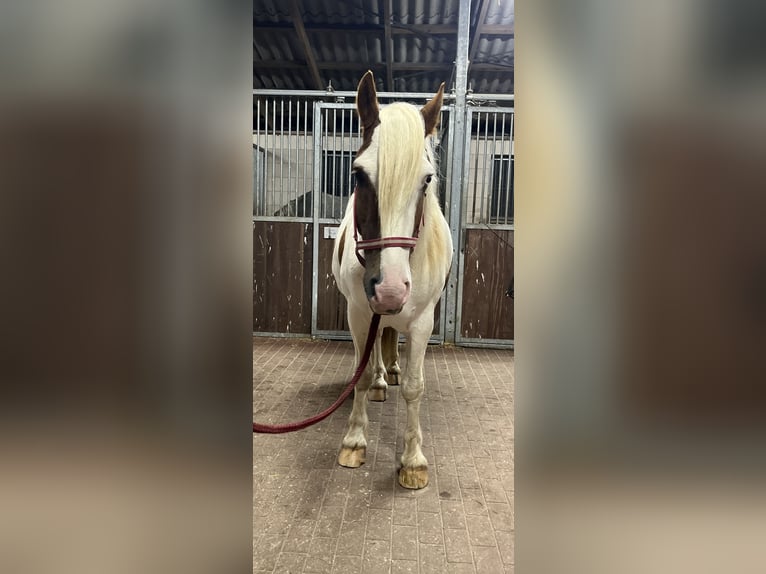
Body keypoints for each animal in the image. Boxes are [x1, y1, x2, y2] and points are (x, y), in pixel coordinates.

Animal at [332, 70, 452, 488]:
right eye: (358, 174)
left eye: (427, 179)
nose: (389, 289)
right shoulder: (359, 314)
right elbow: (362, 375)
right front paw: (354, 441)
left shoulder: (422, 321)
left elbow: (415, 388)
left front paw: (413, 462)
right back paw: (384, 381)